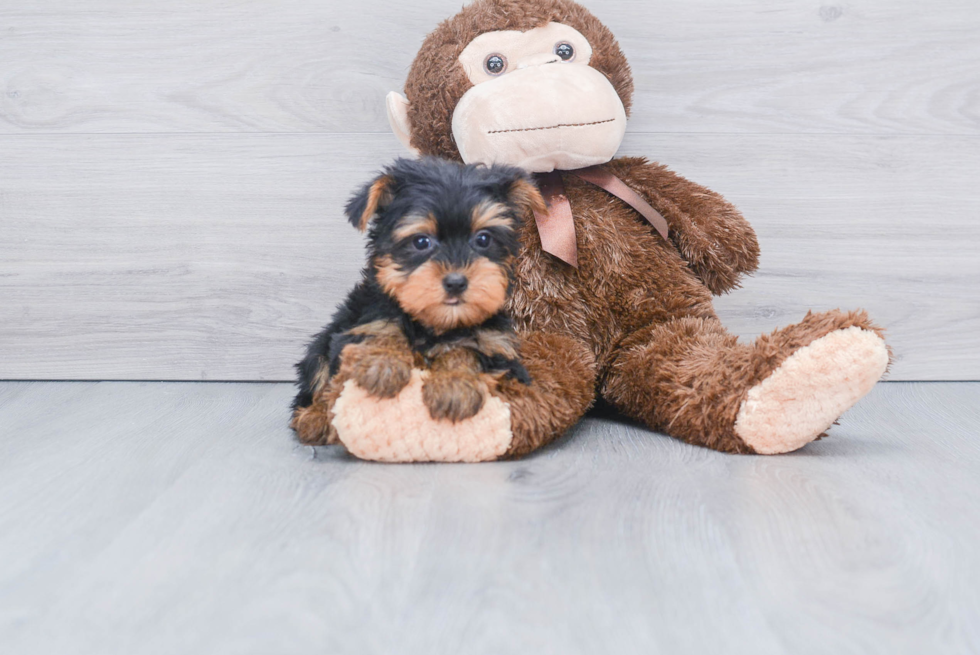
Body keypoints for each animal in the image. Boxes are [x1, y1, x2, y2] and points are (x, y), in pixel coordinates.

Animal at [294, 157, 548, 428]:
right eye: (421, 242)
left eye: (483, 239)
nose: (456, 282)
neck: (437, 326)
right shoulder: (358, 323)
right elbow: (380, 330)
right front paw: (382, 363)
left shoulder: (500, 349)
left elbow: (468, 350)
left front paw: (454, 385)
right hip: (321, 346)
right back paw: (313, 418)